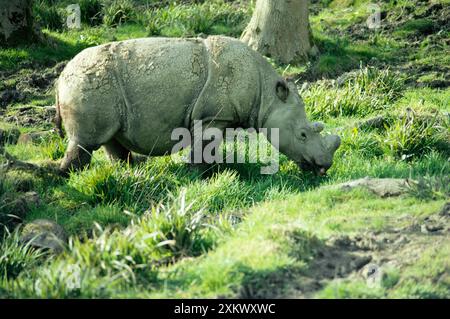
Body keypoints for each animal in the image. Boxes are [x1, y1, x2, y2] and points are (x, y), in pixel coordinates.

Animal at [54, 36, 340, 176]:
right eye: (303, 135)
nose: (324, 166)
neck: (266, 94)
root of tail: (60, 77)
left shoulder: (220, 117)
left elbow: (208, 148)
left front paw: (212, 170)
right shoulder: (213, 115)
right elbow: (204, 146)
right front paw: (198, 175)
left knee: (111, 138)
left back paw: (129, 173)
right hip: (87, 84)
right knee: (86, 141)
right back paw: (68, 178)